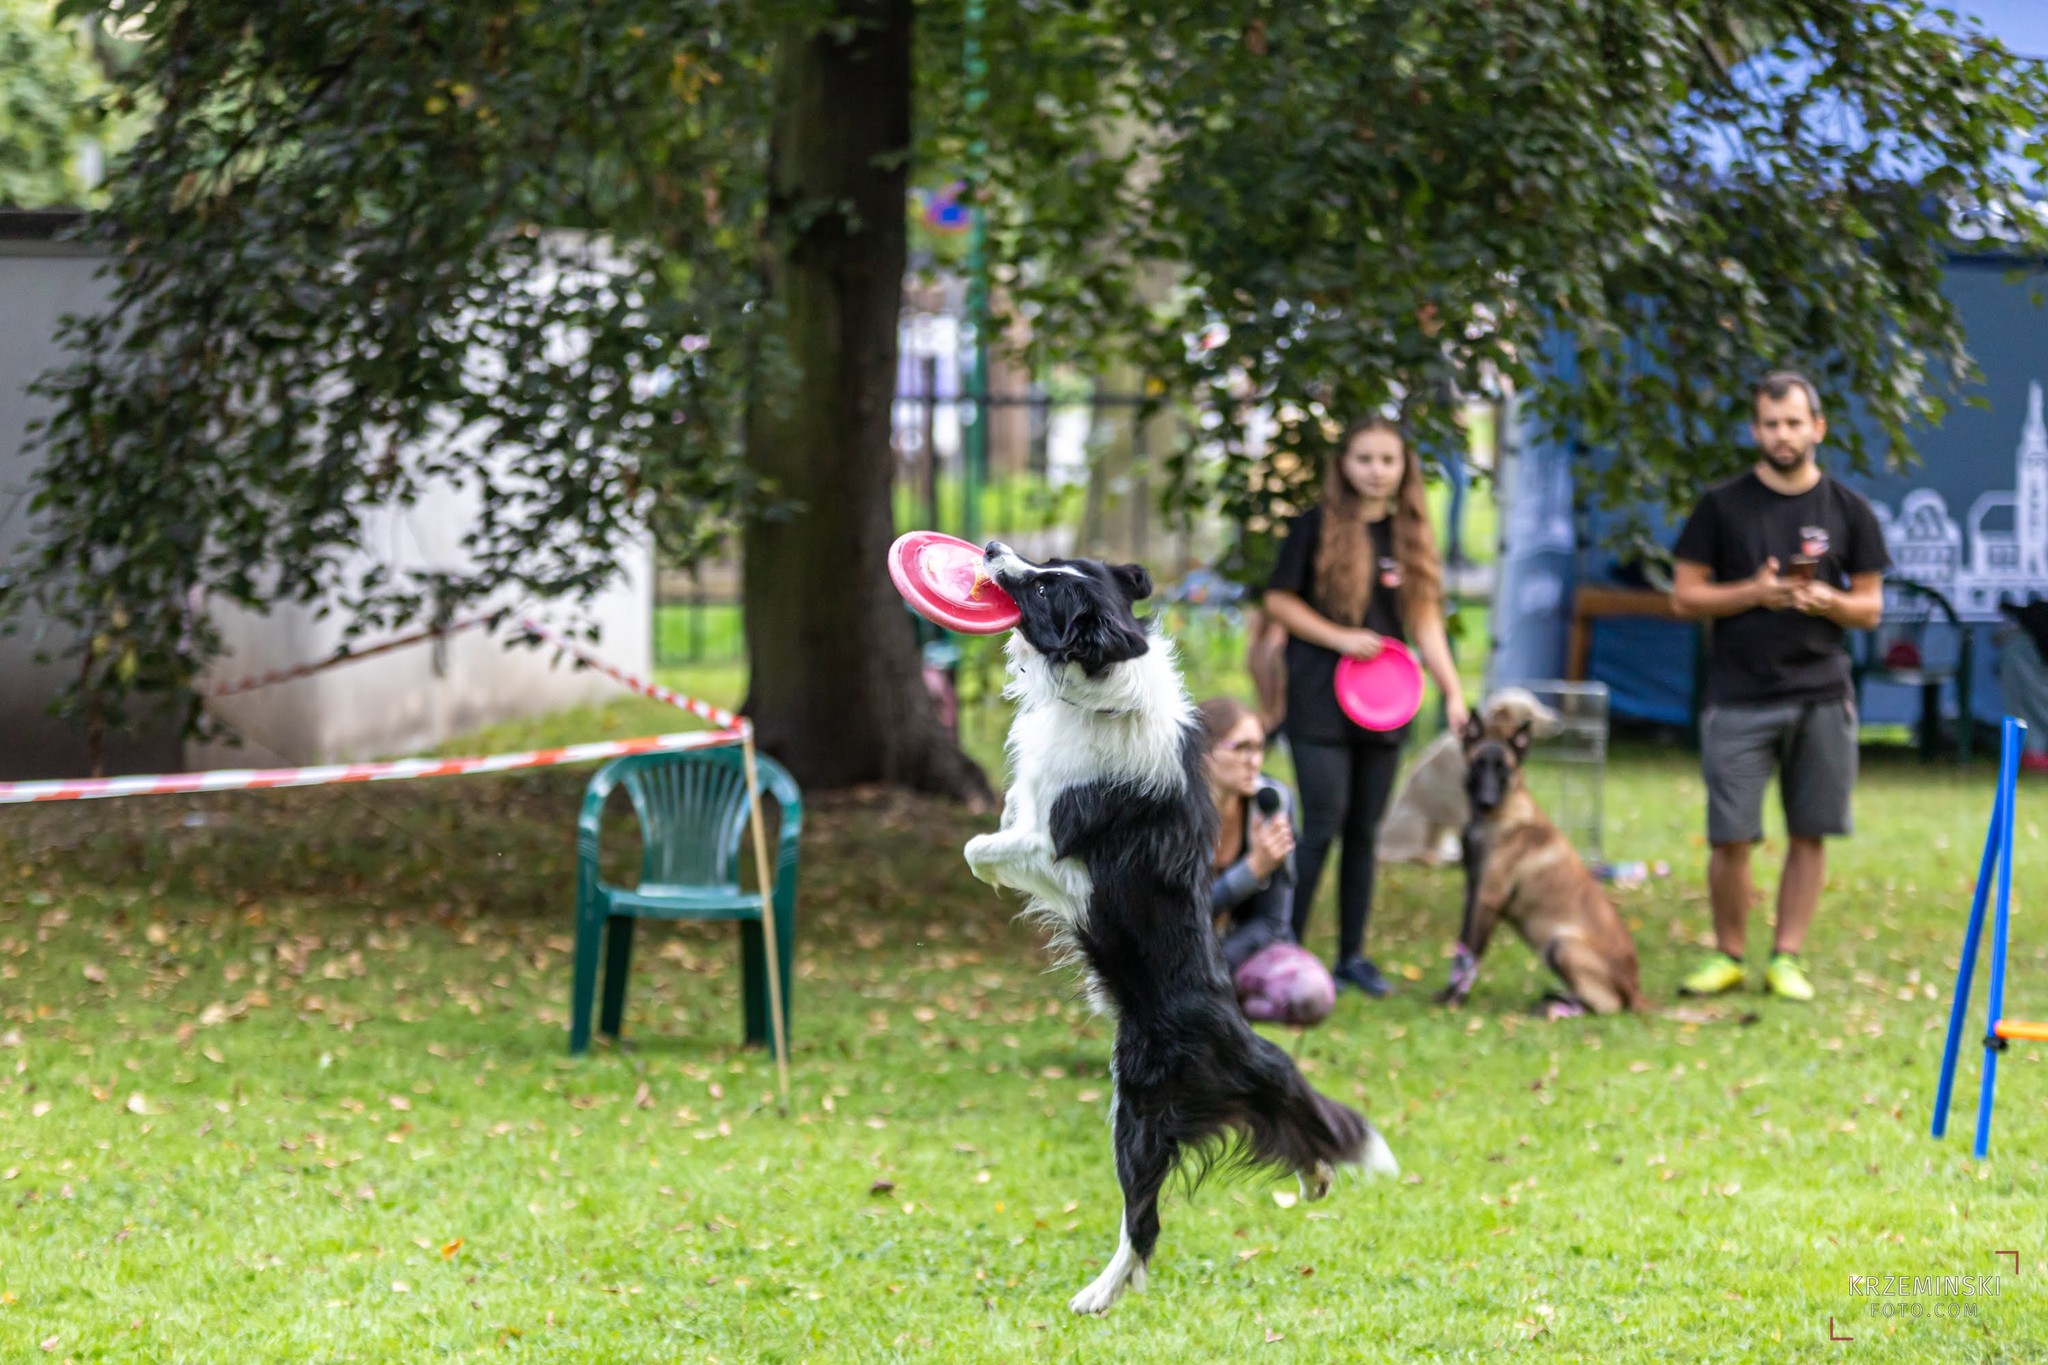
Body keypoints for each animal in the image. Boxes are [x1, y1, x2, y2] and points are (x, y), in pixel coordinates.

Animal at [1433, 716, 1654, 1015]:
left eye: (1504, 769)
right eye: (1479, 764)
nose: (1487, 801)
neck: (1500, 816)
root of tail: (1635, 990)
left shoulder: (1488, 899)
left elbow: (1472, 955)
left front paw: (1456, 998)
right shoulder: (1473, 894)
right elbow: (1461, 950)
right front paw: (1449, 993)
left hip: (1561, 945)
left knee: (1605, 1005)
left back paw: (1556, 1009)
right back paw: (1555, 998)